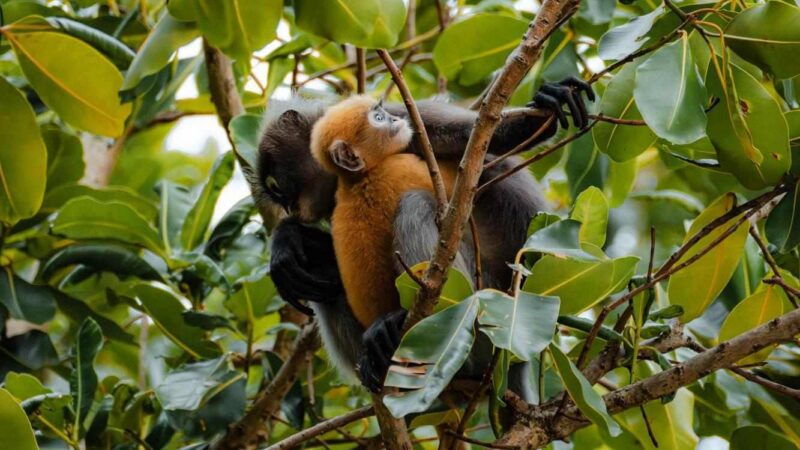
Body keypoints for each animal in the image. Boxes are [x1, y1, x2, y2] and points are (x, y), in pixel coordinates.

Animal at [253, 77, 594, 390]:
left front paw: (550, 101)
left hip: (485, 304)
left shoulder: (405, 116)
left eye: (279, 188)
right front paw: (286, 241)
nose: (290, 207)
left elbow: (476, 134)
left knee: (416, 205)